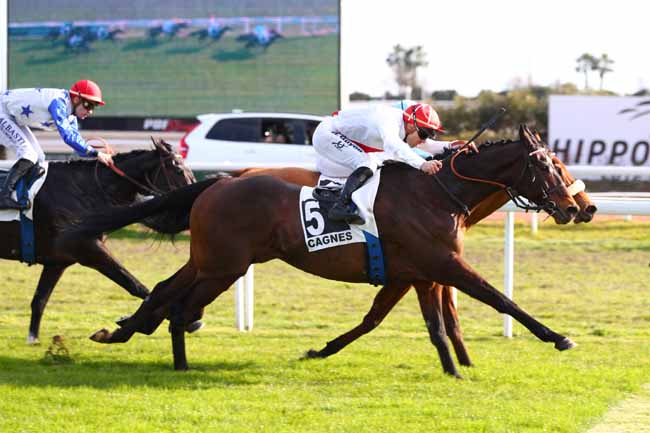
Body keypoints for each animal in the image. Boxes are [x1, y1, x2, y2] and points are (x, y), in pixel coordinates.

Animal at [0, 140, 197, 342]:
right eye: (178, 170)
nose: (194, 200)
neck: (84, 190)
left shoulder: (58, 261)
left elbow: (40, 299)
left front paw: (33, 339)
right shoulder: (89, 250)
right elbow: (135, 285)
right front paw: (187, 320)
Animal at [74, 125, 576, 374]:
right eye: (548, 166)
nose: (576, 207)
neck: (438, 194)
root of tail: (217, 182)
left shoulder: (416, 272)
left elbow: (424, 323)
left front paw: (454, 368)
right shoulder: (442, 263)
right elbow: (500, 299)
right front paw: (557, 337)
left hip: (211, 260)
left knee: (164, 289)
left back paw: (122, 331)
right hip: (224, 267)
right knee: (180, 307)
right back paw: (178, 364)